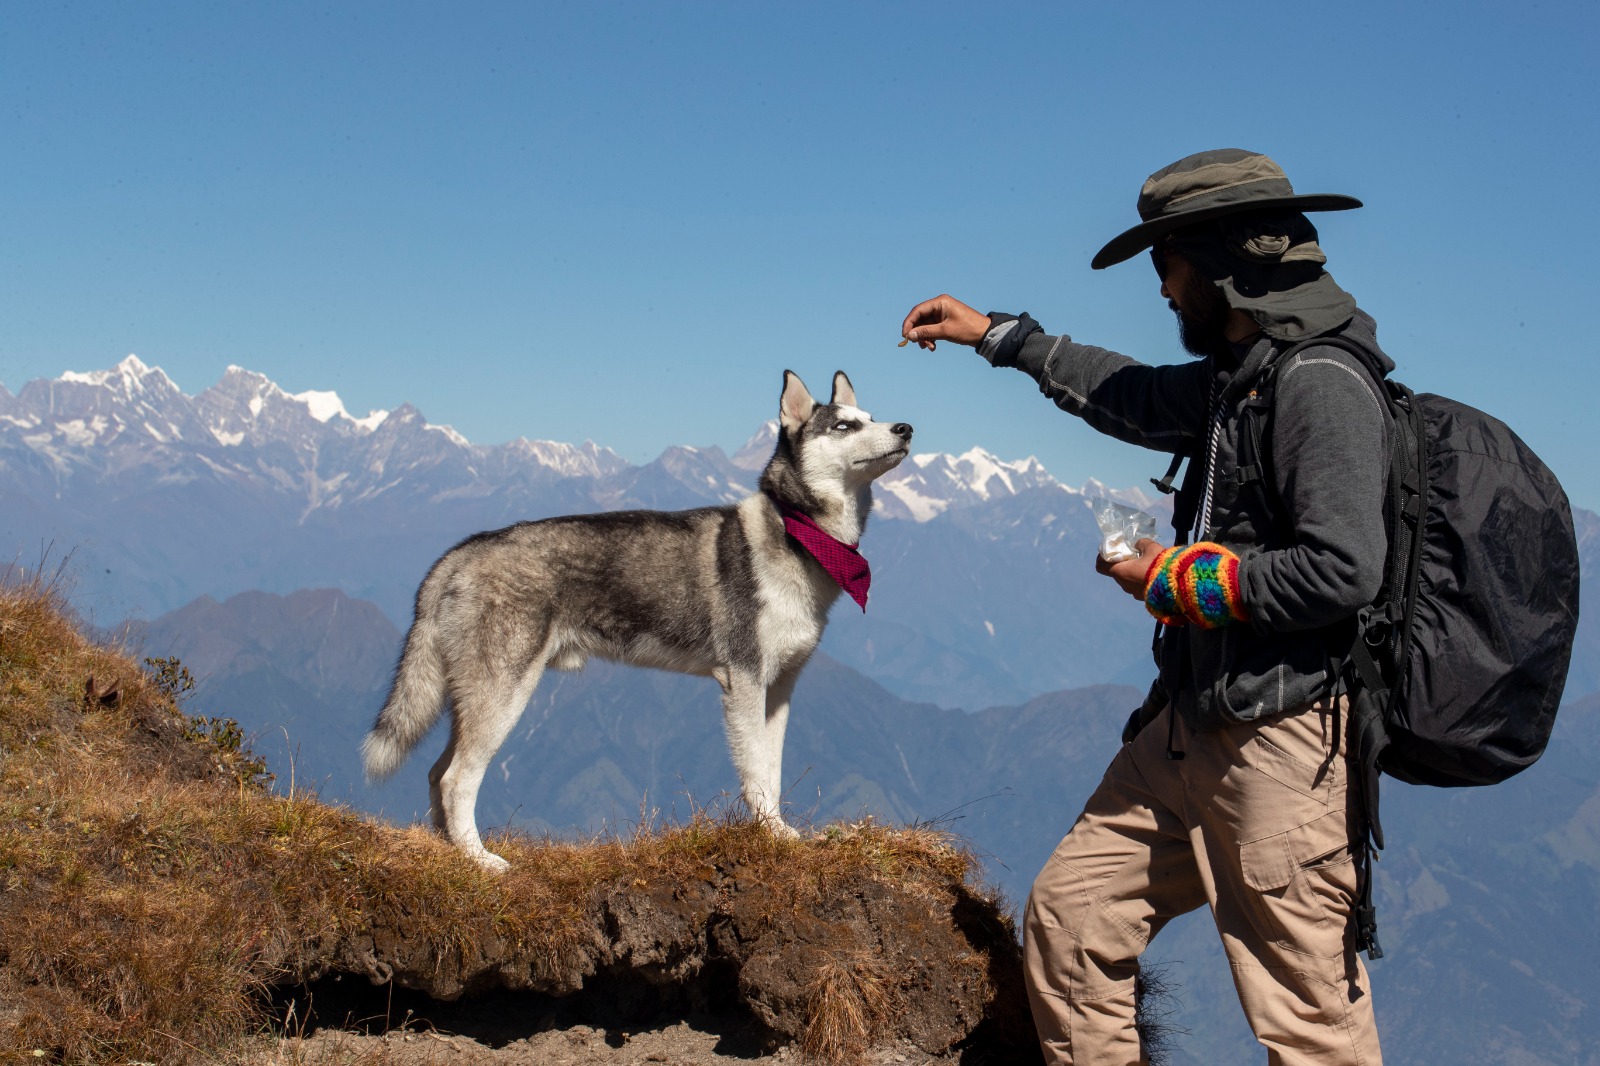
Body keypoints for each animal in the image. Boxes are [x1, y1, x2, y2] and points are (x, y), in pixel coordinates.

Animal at [366, 369, 915, 870]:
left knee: (436, 774)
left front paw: (779, 831)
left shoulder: (778, 690)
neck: (799, 533)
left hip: (474, 701)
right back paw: (479, 860)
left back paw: (449, 850)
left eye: (869, 418)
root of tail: (458, 554)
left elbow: (772, 773)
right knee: (456, 779)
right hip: (502, 697)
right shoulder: (743, 683)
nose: (906, 427)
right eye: (843, 426)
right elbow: (756, 774)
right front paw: (770, 835)